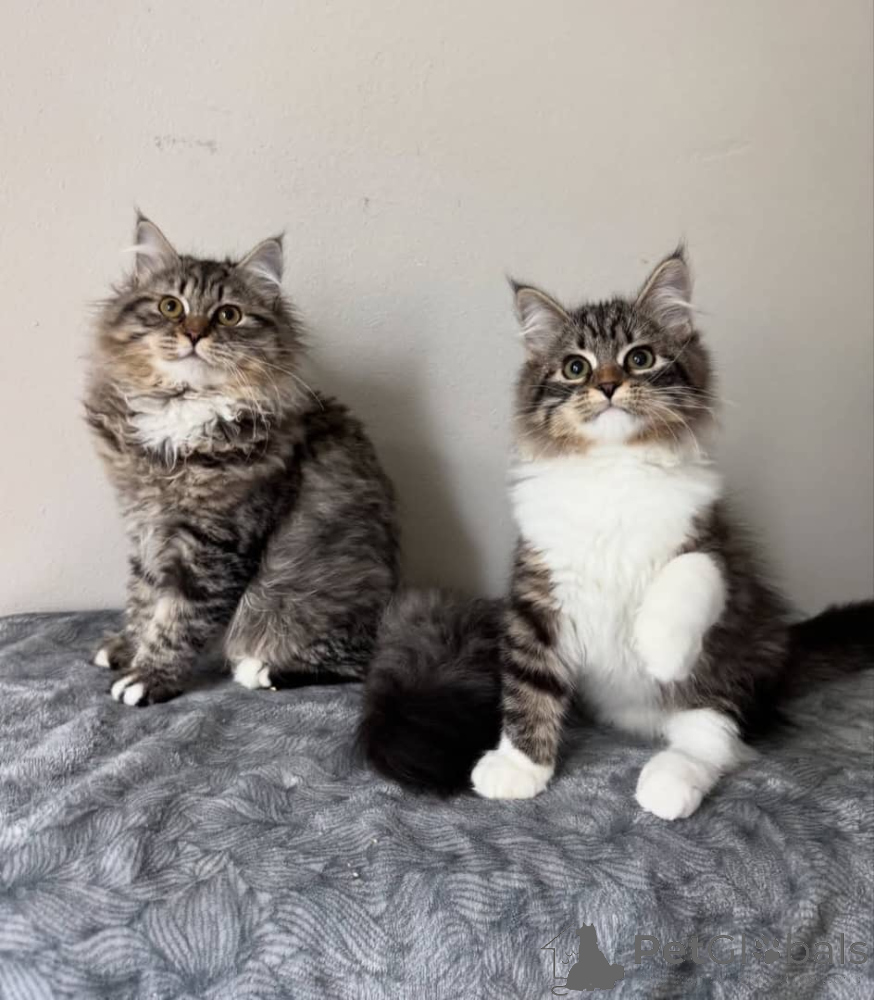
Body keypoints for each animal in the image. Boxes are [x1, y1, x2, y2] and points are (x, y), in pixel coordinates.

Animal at [85, 215, 398, 706]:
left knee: (360, 662)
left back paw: (262, 668)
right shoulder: (145, 526)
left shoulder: (217, 542)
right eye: (171, 307)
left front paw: (149, 676)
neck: (180, 413)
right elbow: (144, 597)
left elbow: (178, 617)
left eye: (228, 315)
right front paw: (128, 648)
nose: (194, 333)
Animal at [361, 247, 872, 817]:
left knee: (713, 736)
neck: (614, 469)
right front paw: (520, 765)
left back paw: (670, 781)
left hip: (736, 665)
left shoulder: (717, 547)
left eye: (639, 358)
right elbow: (528, 682)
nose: (606, 385)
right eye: (575, 367)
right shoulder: (538, 589)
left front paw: (659, 647)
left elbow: (690, 571)